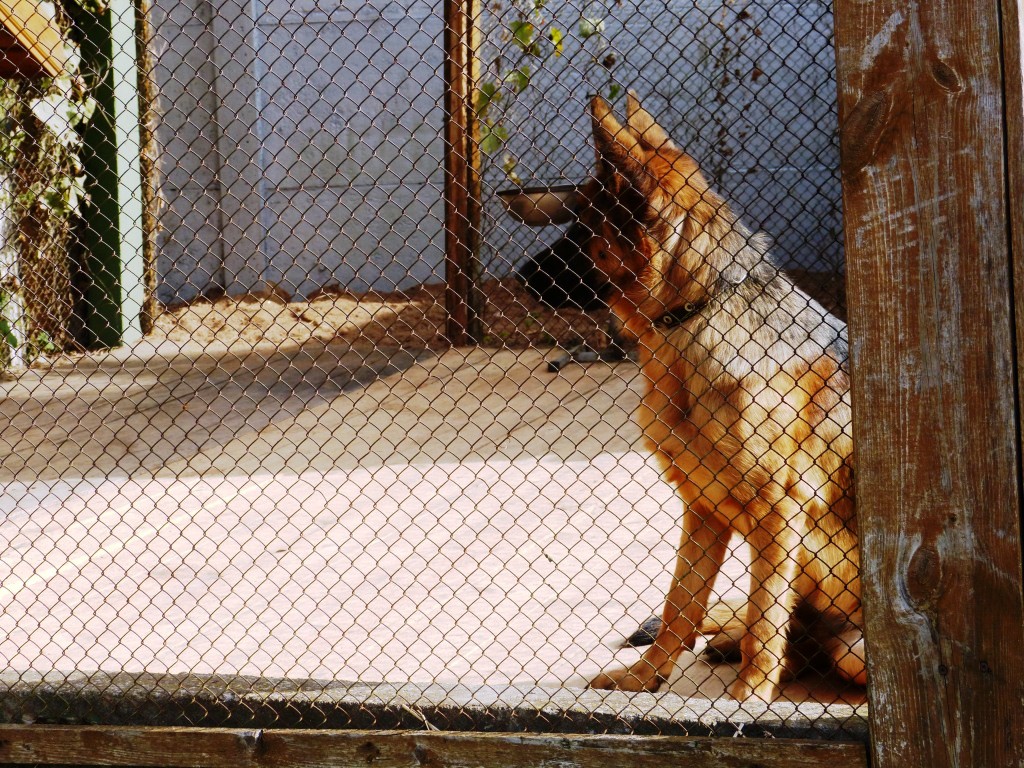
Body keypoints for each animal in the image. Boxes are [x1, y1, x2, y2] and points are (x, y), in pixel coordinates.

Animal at [544, 94, 864, 704]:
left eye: (578, 229)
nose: (521, 278)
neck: (697, 310)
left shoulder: (777, 510)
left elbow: (764, 616)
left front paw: (748, 699)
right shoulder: (702, 508)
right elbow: (680, 607)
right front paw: (645, 679)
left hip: (852, 640)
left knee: (794, 638)